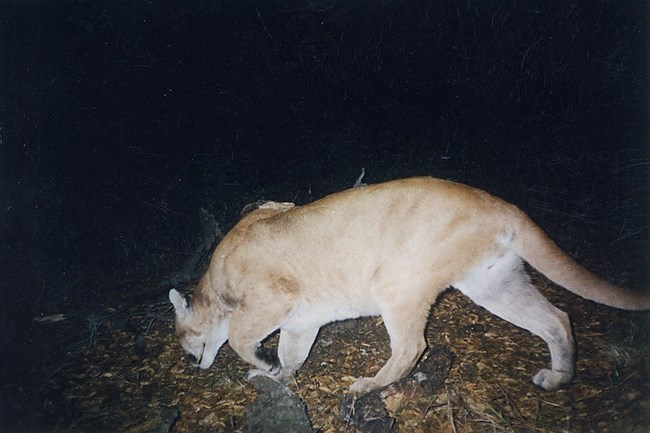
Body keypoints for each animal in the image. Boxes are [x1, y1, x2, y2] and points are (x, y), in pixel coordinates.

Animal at [170, 176, 644, 394]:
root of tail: (499, 203)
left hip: (397, 283)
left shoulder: (273, 297)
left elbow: (238, 337)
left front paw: (263, 366)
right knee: (557, 318)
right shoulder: (302, 320)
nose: (191, 363)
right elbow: (292, 352)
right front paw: (280, 375)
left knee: (413, 346)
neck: (213, 281)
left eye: (184, 341)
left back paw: (369, 385)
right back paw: (558, 377)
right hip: (493, 282)